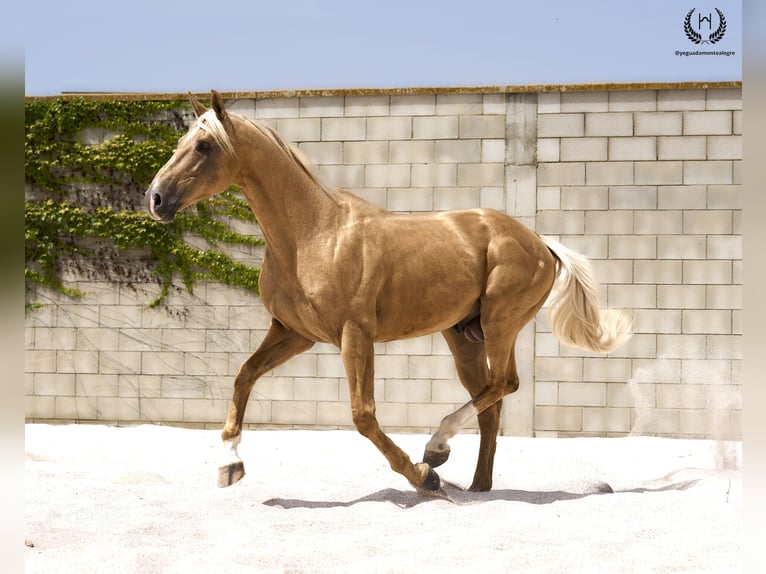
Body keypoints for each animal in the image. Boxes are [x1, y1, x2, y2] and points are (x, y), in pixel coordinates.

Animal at [144, 92, 632, 498]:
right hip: (463, 337)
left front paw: (423, 477)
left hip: (501, 323)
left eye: (203, 146)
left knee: (504, 384)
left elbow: (364, 415)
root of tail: (542, 244)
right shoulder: (293, 333)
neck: (313, 234)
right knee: (489, 402)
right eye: (184, 139)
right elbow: (244, 376)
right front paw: (230, 465)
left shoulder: (354, 335)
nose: (156, 199)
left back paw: (437, 451)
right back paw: (477, 485)